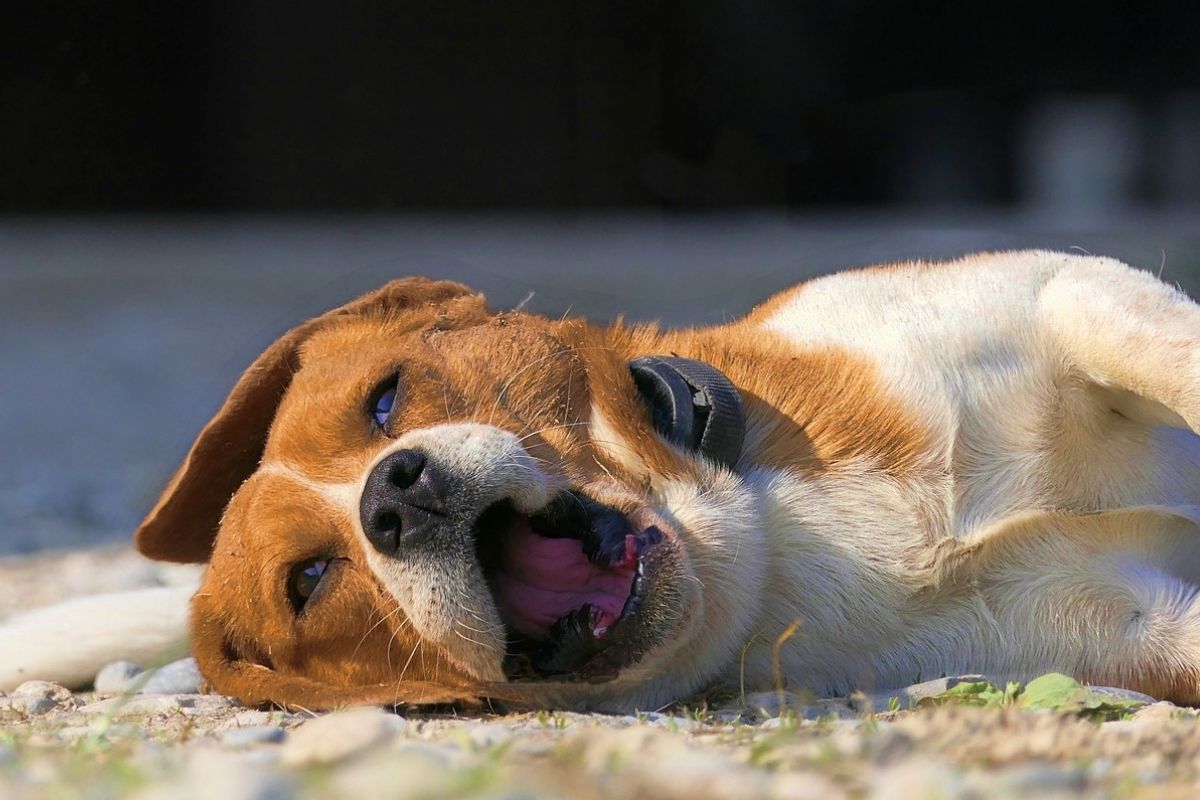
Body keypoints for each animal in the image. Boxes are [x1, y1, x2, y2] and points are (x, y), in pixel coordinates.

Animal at [2, 251, 1200, 714]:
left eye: (384, 404)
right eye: (308, 580)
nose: (393, 492)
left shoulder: (1073, 296)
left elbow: (1168, 352)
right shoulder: (1126, 627)